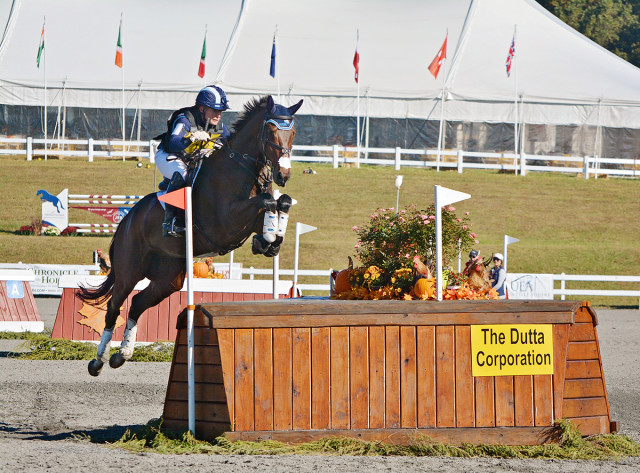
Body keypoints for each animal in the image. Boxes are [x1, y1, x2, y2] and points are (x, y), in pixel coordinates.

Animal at [77, 96, 302, 376]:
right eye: (271, 132)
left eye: (293, 133)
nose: (283, 175)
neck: (242, 168)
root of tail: (127, 222)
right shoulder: (226, 222)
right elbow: (266, 201)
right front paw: (268, 238)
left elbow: (280, 202)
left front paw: (270, 241)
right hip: (130, 271)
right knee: (113, 307)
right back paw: (98, 360)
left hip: (168, 278)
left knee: (138, 303)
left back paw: (123, 354)